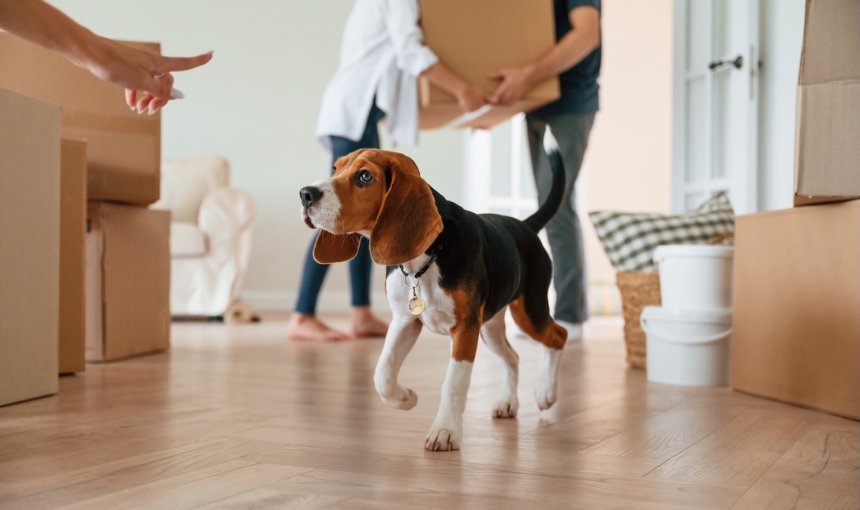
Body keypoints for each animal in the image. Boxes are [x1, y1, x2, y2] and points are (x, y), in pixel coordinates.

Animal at [298, 147, 568, 450]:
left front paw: (445, 430)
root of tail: (525, 225)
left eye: (365, 177)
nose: (305, 194)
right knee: (512, 356)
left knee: (558, 335)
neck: (424, 261)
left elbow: (453, 382)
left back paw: (546, 391)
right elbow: (382, 374)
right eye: (336, 168)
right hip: (490, 327)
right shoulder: (405, 321)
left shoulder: (465, 328)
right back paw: (508, 402)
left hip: (528, 312)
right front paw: (405, 398)